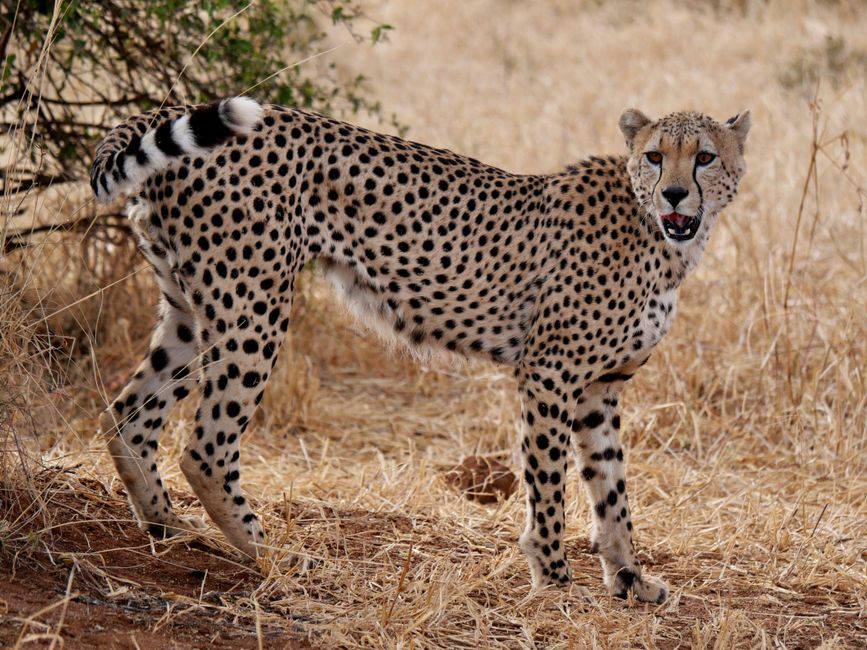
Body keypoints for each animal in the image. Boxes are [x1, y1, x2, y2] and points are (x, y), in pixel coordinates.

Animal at [90, 96, 750, 603]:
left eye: (705, 157)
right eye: (655, 156)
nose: (674, 195)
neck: (661, 236)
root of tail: (165, 107)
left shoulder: (599, 389)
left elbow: (612, 492)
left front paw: (631, 581)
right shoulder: (550, 373)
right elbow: (548, 484)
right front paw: (555, 579)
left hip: (190, 310)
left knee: (128, 414)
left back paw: (168, 526)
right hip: (251, 308)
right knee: (205, 446)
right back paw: (273, 552)